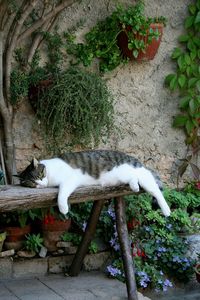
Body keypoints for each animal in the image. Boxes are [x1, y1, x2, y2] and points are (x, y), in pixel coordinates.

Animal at [18, 149, 170, 216]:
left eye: (40, 174)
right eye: (33, 183)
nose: (42, 184)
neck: (50, 172)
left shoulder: (70, 180)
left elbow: (61, 193)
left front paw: (63, 209)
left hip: (141, 175)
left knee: (156, 190)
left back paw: (166, 210)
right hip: (125, 175)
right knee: (134, 178)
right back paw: (134, 185)